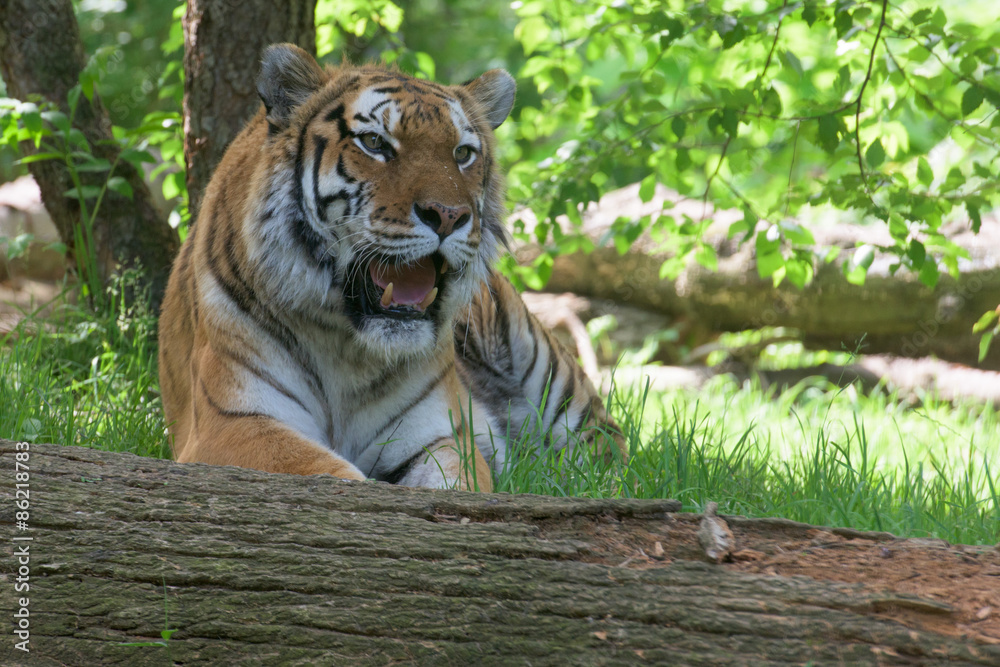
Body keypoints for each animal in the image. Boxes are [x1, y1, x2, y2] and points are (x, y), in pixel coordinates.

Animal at [158, 41, 624, 490]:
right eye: (375, 143)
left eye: (462, 153)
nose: (449, 215)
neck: (346, 349)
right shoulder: (232, 424)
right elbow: (332, 474)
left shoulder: (439, 436)